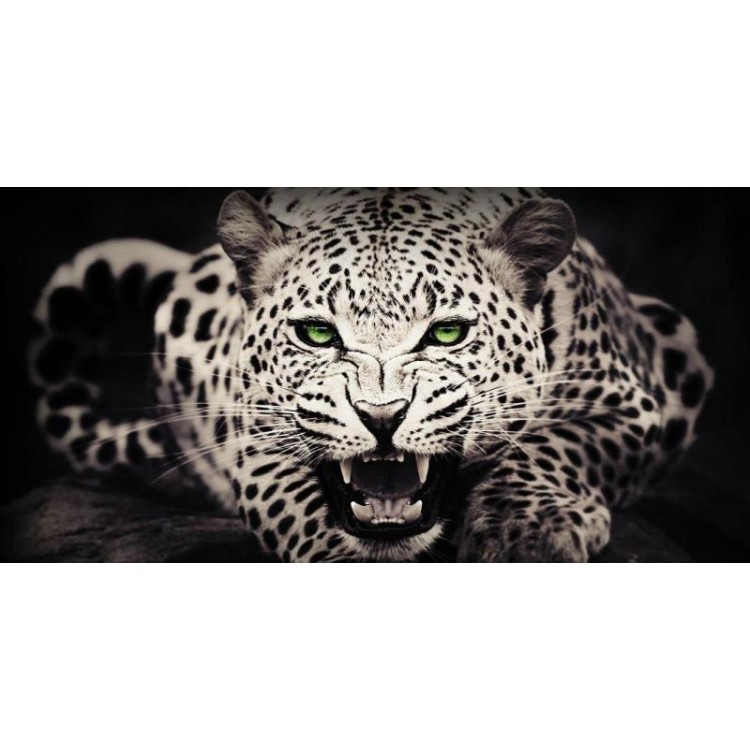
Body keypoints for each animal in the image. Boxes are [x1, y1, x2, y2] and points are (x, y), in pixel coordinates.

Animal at [28, 188, 713, 561]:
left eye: (446, 333)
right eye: (316, 333)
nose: (382, 417)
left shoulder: (629, 401)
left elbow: (556, 447)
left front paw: (529, 532)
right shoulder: (255, 439)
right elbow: (300, 508)